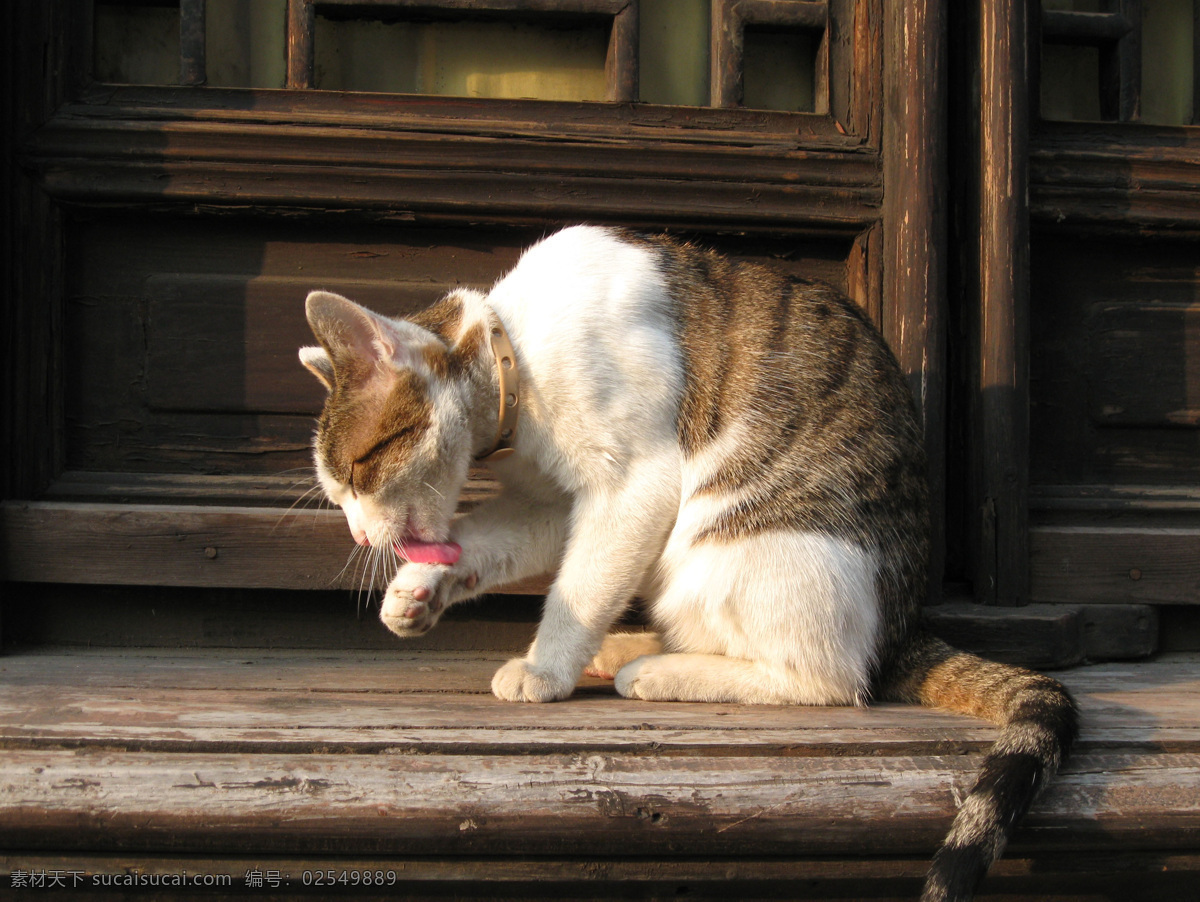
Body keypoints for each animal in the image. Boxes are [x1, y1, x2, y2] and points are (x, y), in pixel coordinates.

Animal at [300, 225, 1080, 902]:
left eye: (359, 475)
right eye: (338, 496)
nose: (361, 537)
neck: (515, 348)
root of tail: (903, 627)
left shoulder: (634, 485)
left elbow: (581, 586)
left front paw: (544, 669)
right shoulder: (548, 505)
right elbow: (489, 542)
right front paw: (419, 591)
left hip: (738, 550)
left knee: (831, 680)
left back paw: (657, 671)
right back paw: (629, 649)